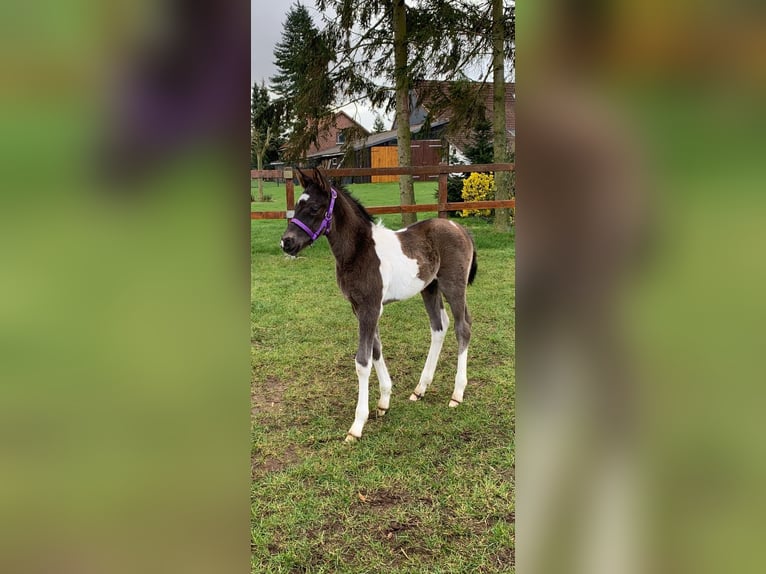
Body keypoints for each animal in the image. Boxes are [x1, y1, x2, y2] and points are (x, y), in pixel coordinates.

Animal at [280, 169, 476, 444]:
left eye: (314, 208)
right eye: (297, 205)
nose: (286, 242)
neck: (359, 251)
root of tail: (460, 228)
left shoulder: (370, 308)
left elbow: (362, 361)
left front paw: (357, 425)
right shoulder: (359, 308)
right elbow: (376, 350)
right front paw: (384, 401)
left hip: (453, 286)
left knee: (462, 327)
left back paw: (457, 393)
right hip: (429, 288)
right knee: (439, 327)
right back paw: (420, 388)